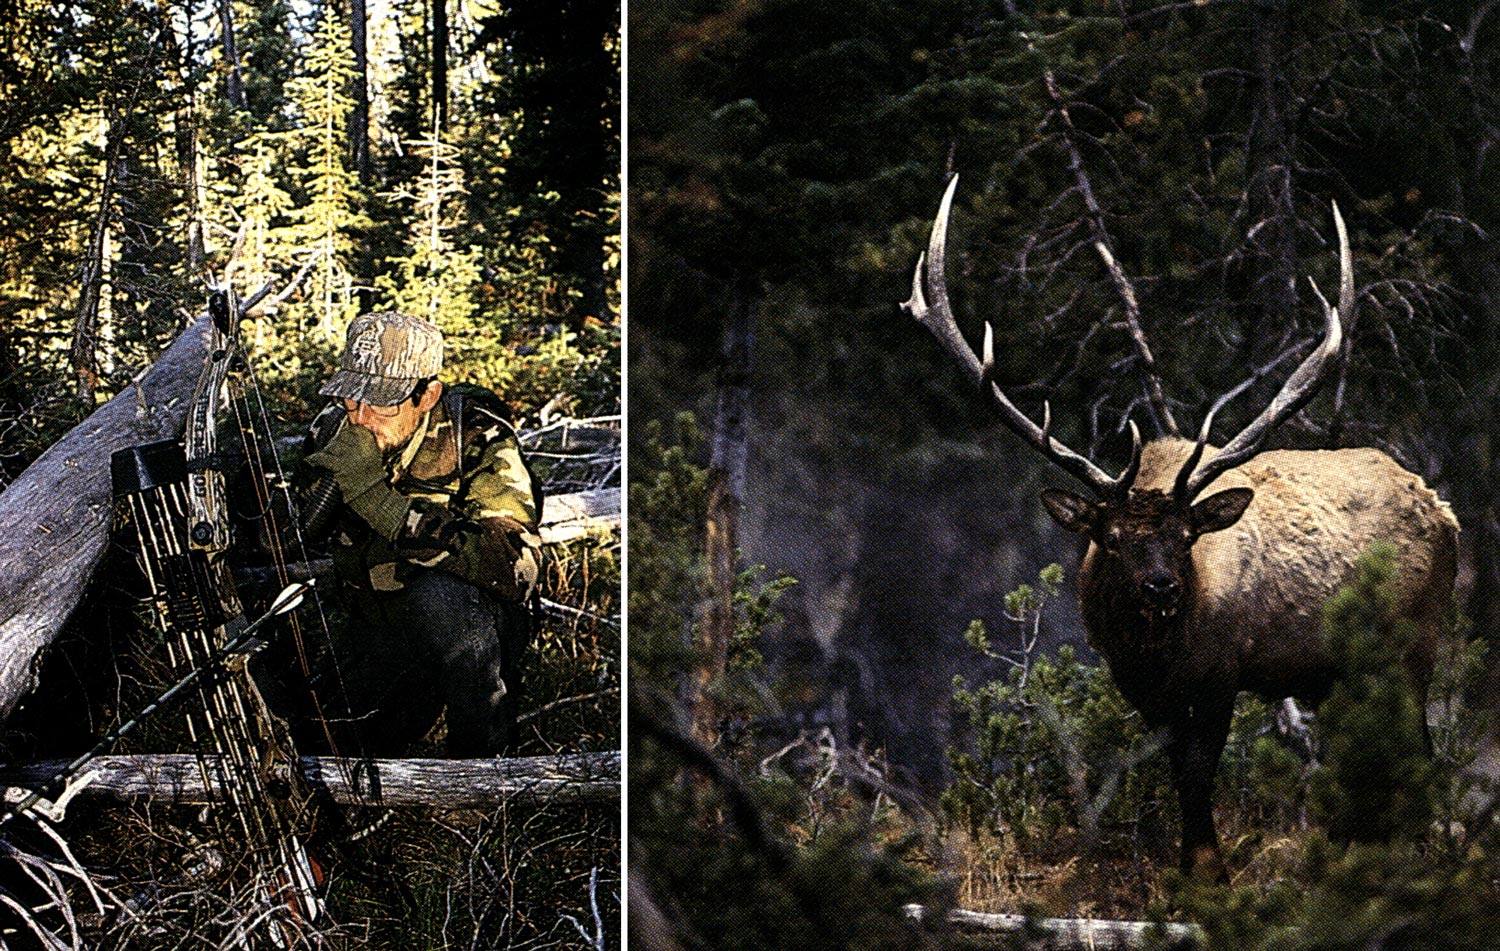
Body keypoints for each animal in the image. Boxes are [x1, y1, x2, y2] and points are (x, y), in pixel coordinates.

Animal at [900, 176, 1452, 876]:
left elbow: (1197, 770)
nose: (1160, 587)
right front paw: (1189, 868)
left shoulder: (1221, 672)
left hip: (1416, 640)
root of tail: (1444, 511)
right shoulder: (1136, 683)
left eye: (1187, 537)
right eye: (1109, 540)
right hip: (1341, 671)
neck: (1159, 650)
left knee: (1420, 750)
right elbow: (1174, 767)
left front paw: (1208, 871)